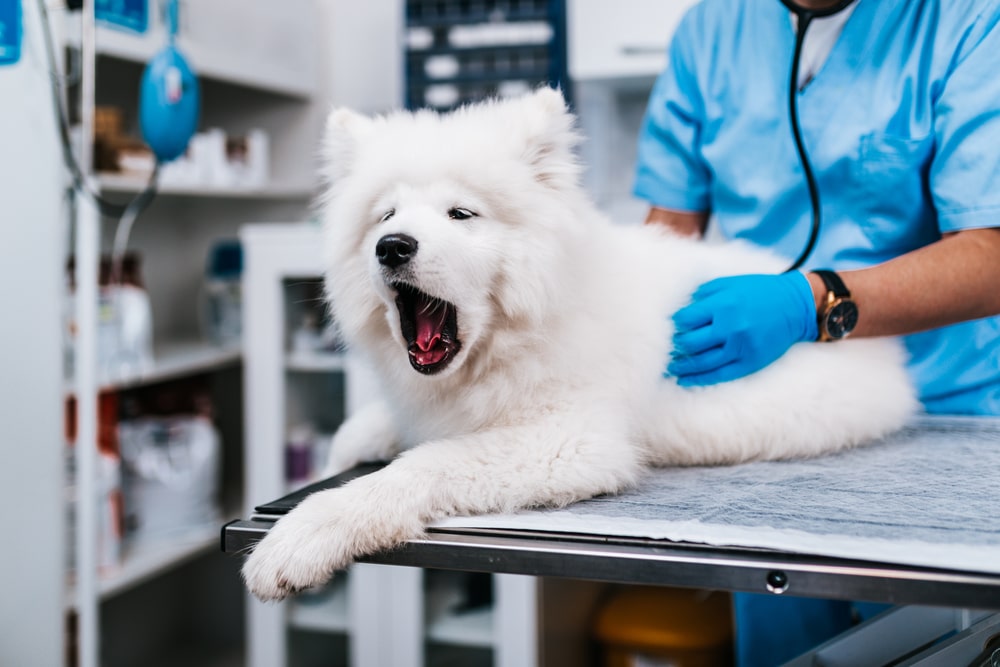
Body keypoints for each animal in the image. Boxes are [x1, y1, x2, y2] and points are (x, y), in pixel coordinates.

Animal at [240, 86, 916, 604]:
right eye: (385, 217)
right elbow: (363, 433)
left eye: (461, 214)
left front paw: (303, 536)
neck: (513, 338)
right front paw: (330, 465)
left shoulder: (571, 441)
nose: (394, 247)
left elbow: (422, 465)